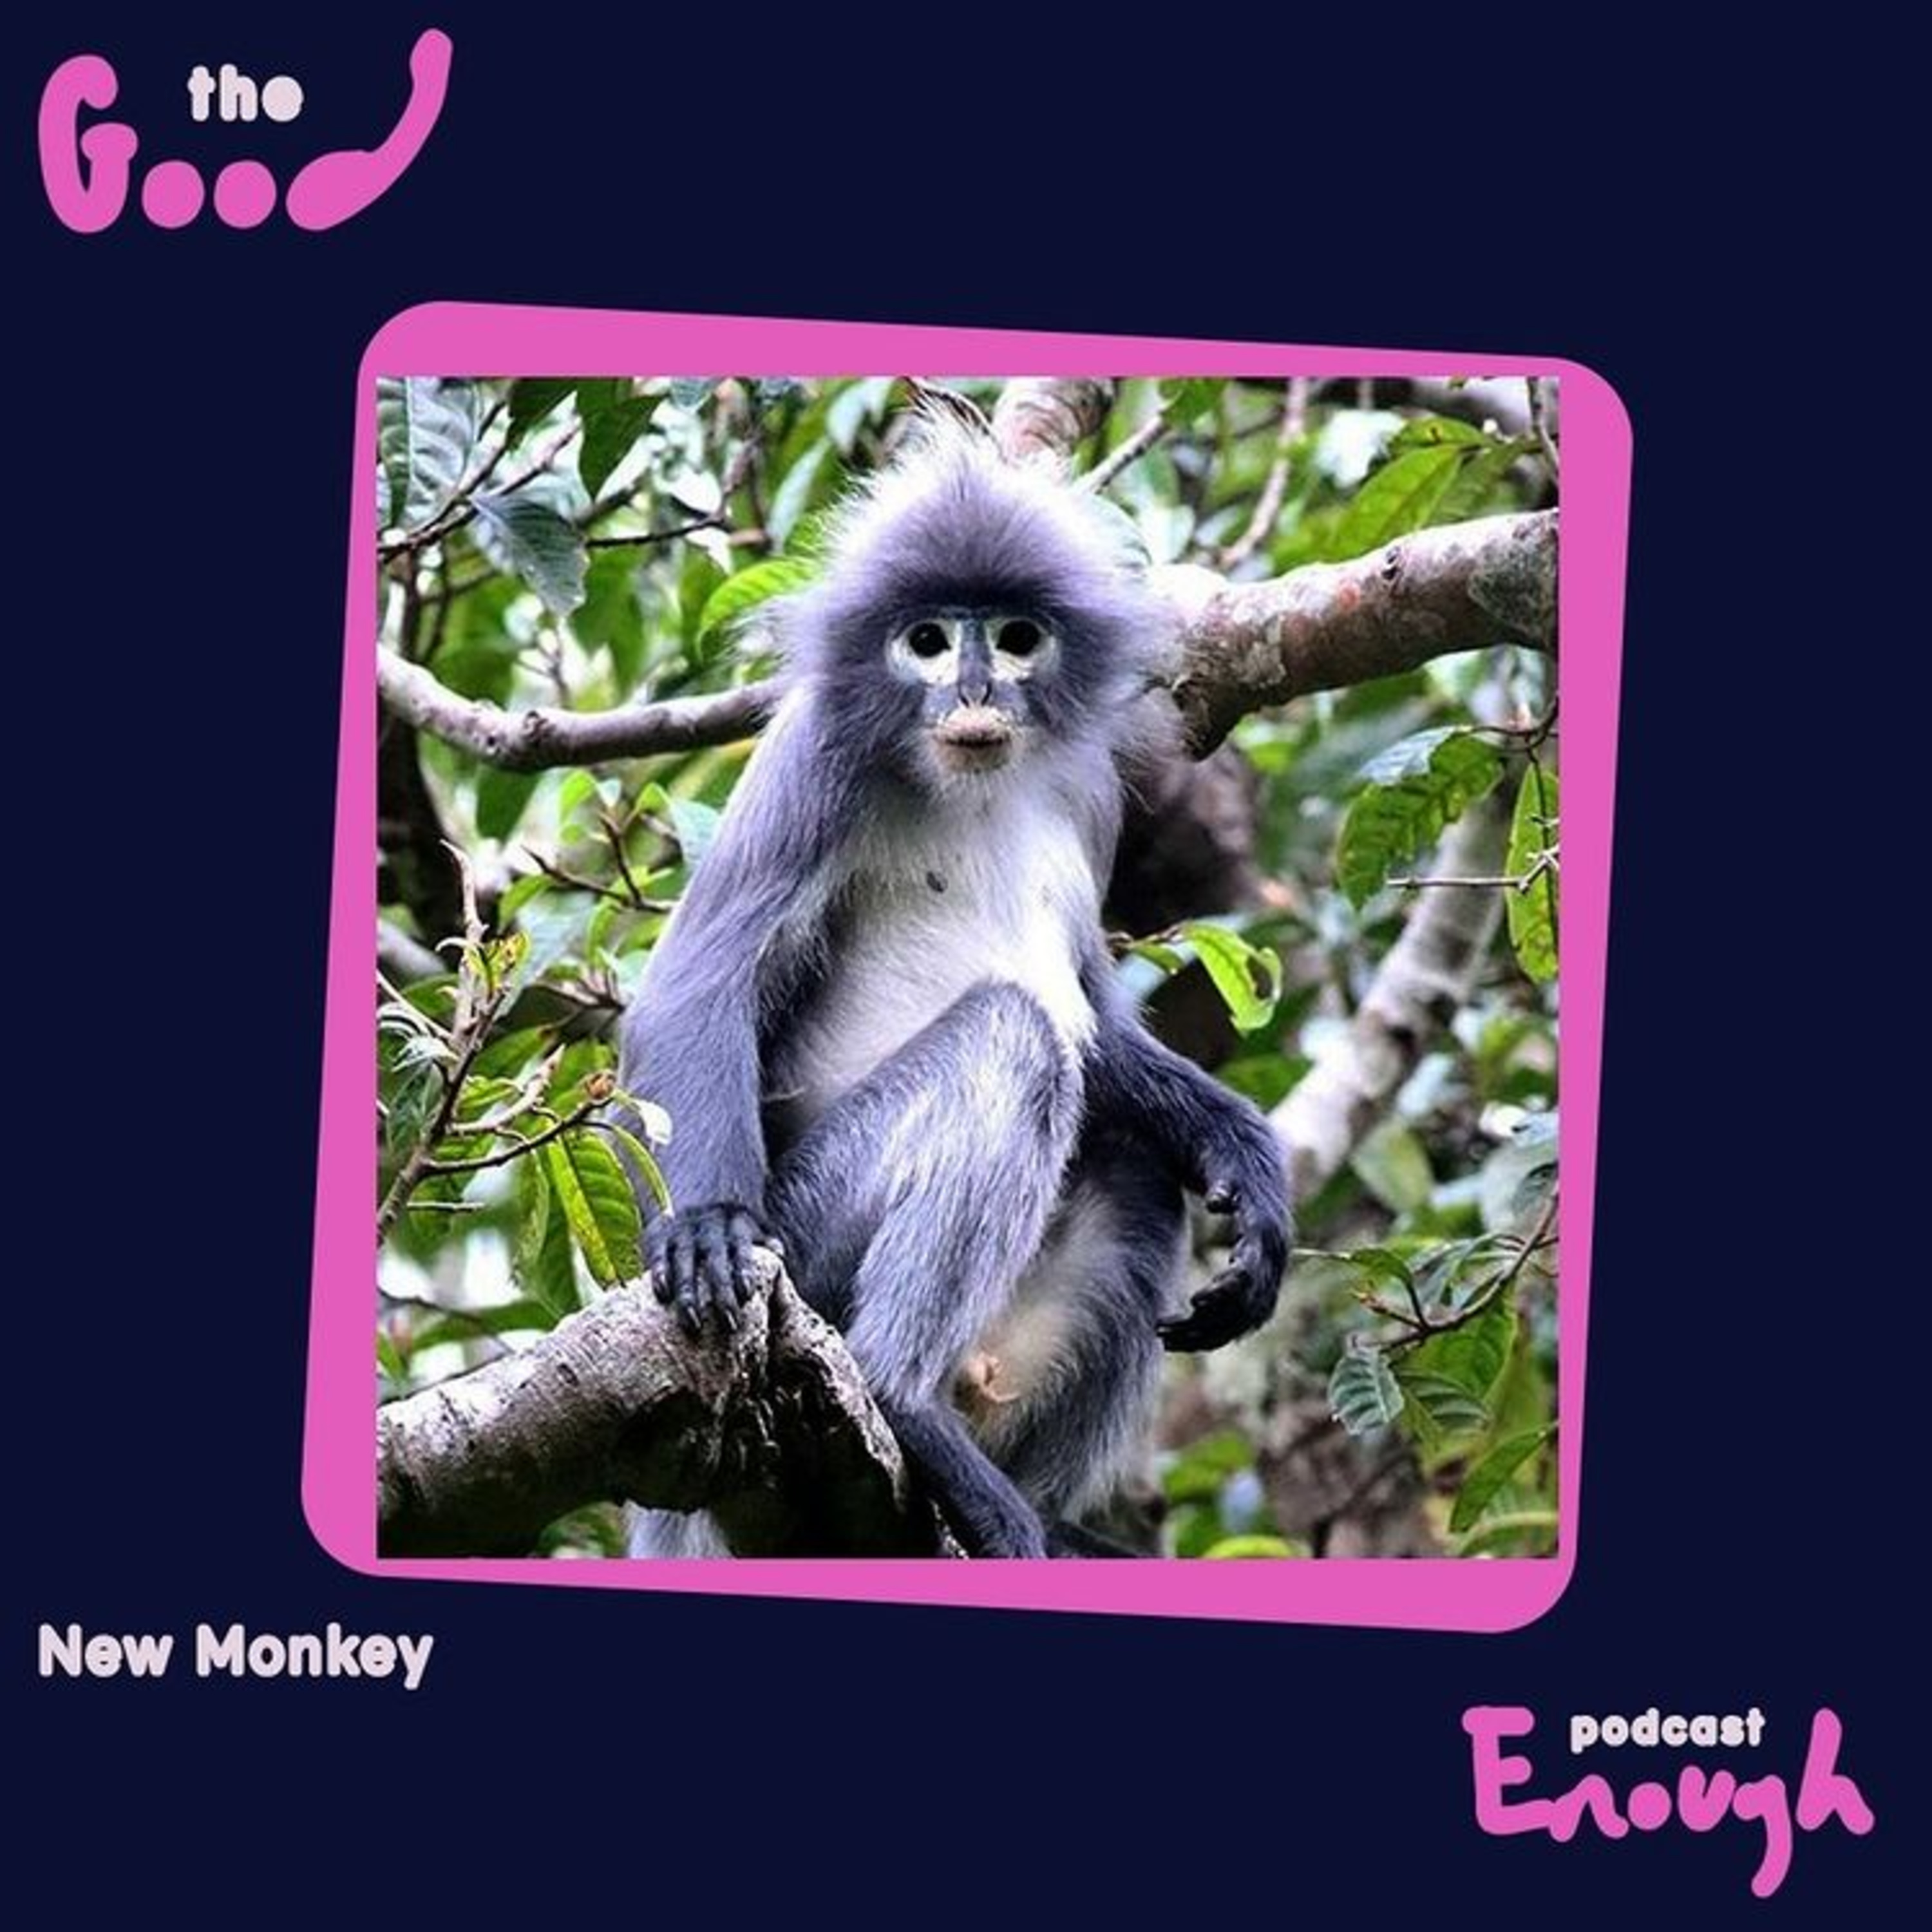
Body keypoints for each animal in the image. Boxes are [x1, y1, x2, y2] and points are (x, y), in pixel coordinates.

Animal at [618, 417, 1291, 1558]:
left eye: (1014, 638)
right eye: (928, 642)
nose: (974, 691)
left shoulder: (1090, 791)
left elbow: (1095, 1016)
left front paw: (1247, 1157)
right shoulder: (816, 756)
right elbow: (696, 982)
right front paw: (704, 1224)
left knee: (1129, 1150)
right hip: (811, 1238)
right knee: (1012, 1038)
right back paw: (905, 1401)